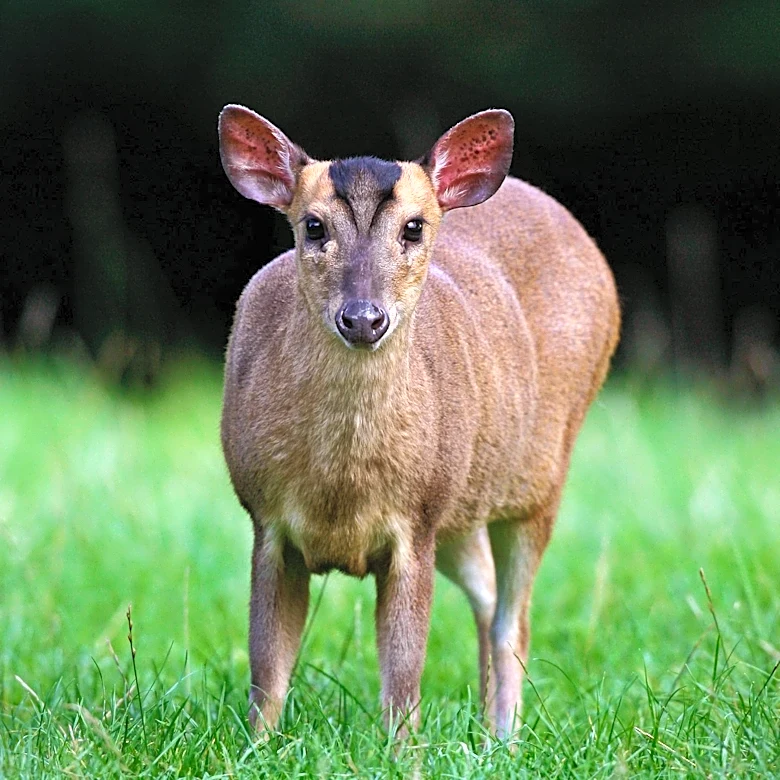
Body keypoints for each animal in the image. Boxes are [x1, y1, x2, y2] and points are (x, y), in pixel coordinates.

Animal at [217, 103, 620, 740]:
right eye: (313, 226)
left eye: (414, 227)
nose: (363, 318)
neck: (341, 488)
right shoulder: (266, 517)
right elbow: (267, 668)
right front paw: (257, 747)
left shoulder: (418, 518)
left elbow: (404, 677)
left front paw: (403, 750)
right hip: (462, 507)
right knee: (486, 592)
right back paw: (486, 731)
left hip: (539, 479)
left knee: (514, 619)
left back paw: (505, 737)